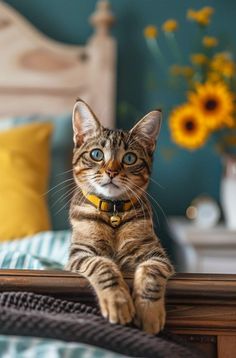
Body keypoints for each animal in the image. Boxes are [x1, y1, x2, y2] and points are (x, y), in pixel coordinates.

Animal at [65, 99, 174, 334]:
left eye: (130, 158)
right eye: (97, 154)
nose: (112, 172)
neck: (113, 213)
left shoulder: (156, 254)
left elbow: (151, 272)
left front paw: (148, 311)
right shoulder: (80, 254)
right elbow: (103, 265)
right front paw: (118, 301)